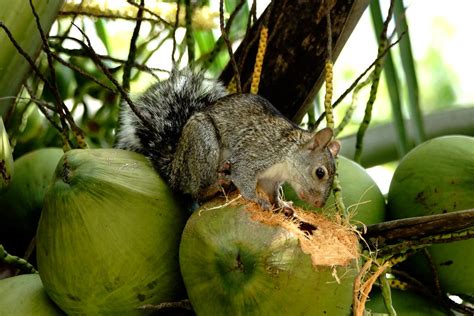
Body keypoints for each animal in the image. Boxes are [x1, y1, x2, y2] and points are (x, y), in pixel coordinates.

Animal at [115, 68, 340, 211]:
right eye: (320, 172)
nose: (319, 204)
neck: (287, 154)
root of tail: (173, 168)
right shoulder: (256, 154)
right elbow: (243, 176)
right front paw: (257, 199)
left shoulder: (270, 179)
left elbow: (272, 192)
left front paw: (281, 205)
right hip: (203, 142)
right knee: (196, 191)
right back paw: (216, 184)